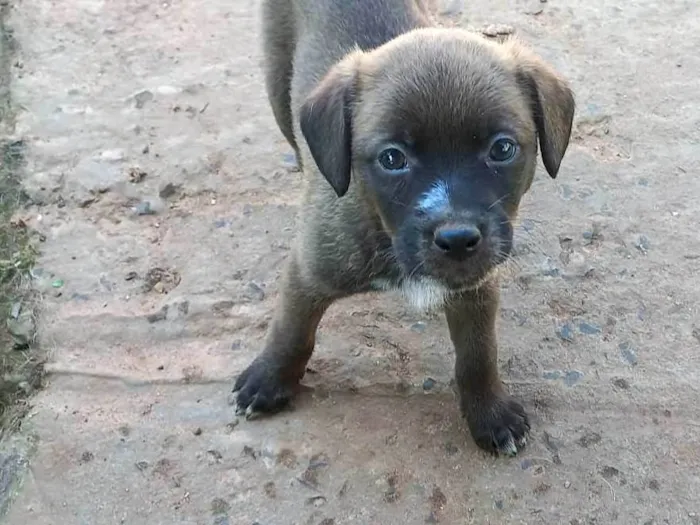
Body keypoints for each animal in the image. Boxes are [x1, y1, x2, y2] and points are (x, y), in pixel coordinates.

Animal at [232, 0, 576, 454]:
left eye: (502, 149)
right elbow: (291, 329)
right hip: (276, 81)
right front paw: (269, 379)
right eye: (392, 158)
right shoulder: (310, 268)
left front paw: (490, 411)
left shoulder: (477, 285)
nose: (457, 240)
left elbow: (478, 354)